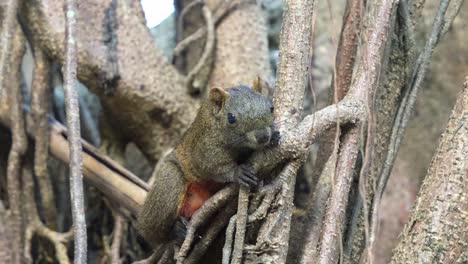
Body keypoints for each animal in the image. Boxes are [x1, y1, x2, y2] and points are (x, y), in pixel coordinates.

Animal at [137, 81, 280, 248]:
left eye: (271, 107)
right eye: (231, 118)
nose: (263, 136)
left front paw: (274, 136)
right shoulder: (204, 148)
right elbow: (211, 166)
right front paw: (238, 173)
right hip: (169, 182)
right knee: (155, 232)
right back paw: (174, 231)